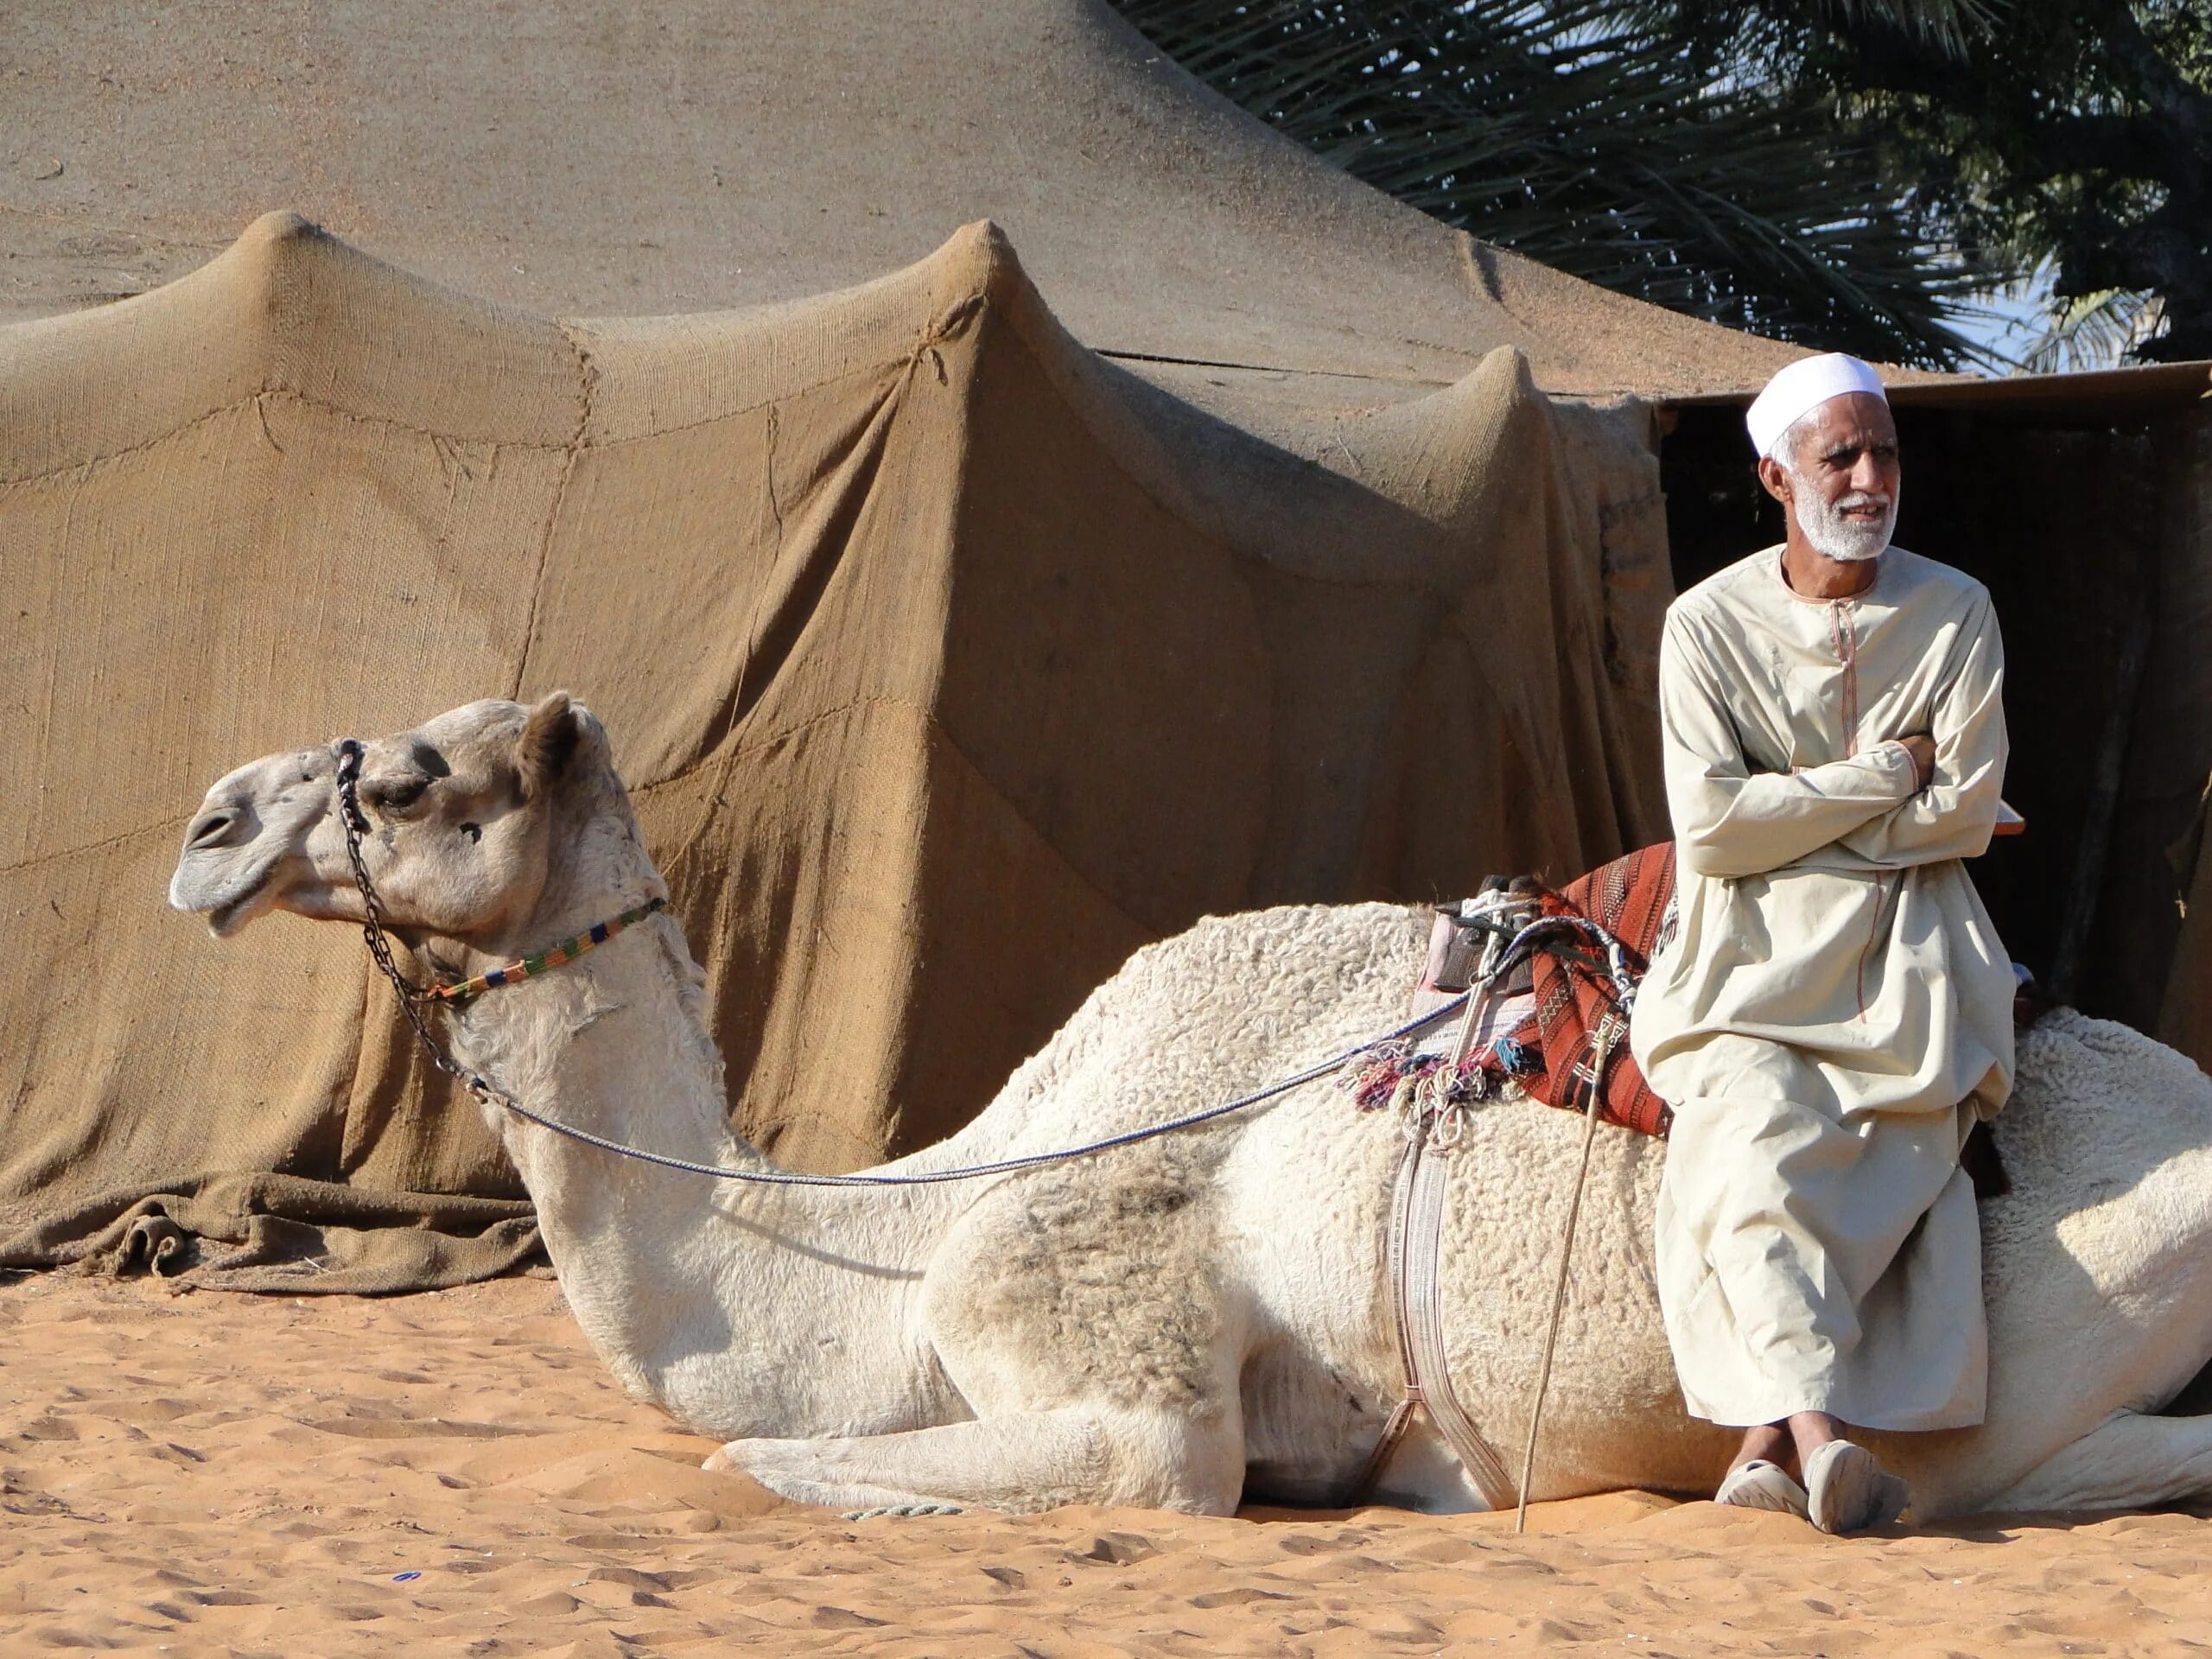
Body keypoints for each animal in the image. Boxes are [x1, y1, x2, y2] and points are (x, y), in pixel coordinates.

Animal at [163, 694, 2212, 1530]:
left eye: (410, 782)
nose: (207, 825)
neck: (887, 1244)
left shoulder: (1119, 1376)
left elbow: (771, 1465)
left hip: (2050, 1330)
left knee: (1971, 1468)